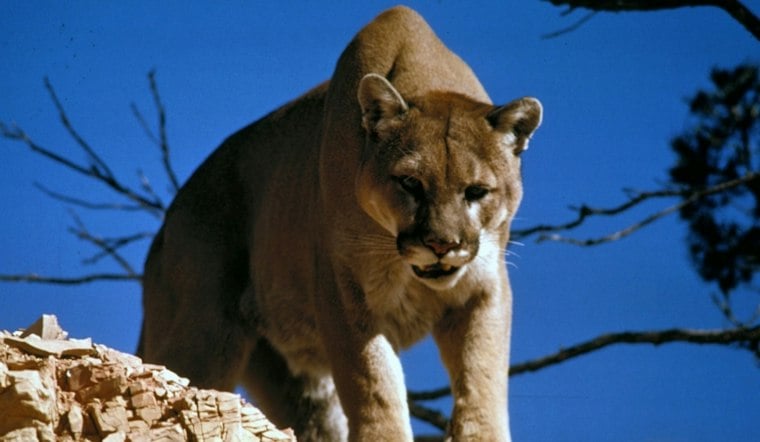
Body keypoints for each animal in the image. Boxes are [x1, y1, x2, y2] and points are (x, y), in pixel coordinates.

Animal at [139, 6, 542, 441]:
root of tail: (167, 224)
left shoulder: (484, 287)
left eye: (477, 191)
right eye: (410, 183)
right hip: (204, 334)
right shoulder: (343, 291)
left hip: (293, 378)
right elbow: (374, 381)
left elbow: (482, 377)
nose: (441, 244)